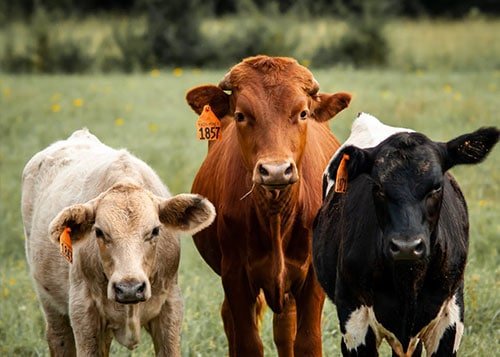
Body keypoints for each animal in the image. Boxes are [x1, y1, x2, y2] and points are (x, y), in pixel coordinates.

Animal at [185, 54, 352, 354]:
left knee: (284, 329)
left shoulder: (311, 279)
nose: (275, 171)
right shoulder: (235, 276)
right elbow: (248, 343)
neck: (275, 216)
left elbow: (307, 341)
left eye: (303, 113)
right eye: (241, 115)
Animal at [314, 114, 498, 356]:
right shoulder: (354, 320)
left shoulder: (450, 318)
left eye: (436, 186)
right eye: (378, 187)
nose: (406, 246)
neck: (408, 282)